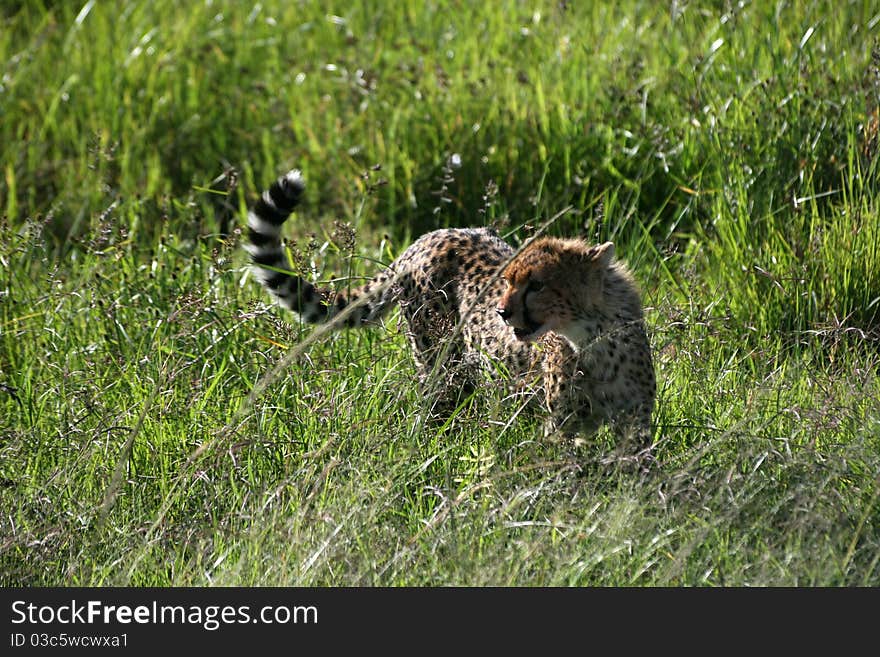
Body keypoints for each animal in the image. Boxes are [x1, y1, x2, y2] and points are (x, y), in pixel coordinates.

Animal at [246, 169, 652, 456]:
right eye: (507, 281)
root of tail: (426, 238)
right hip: (440, 367)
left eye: (537, 285)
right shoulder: (561, 429)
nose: (502, 313)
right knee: (435, 414)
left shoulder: (635, 428)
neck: (593, 337)